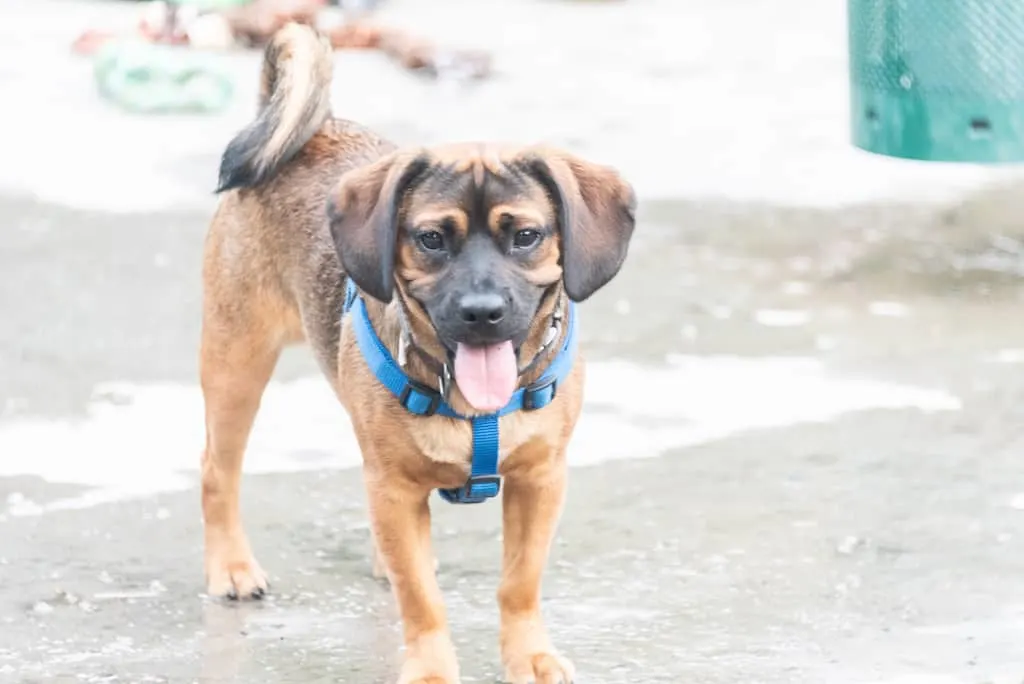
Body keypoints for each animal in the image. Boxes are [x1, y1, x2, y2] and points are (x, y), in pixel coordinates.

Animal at [196, 22, 634, 684]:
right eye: (430, 239)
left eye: (526, 236)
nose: (482, 311)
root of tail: (313, 132)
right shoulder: (397, 488)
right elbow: (423, 599)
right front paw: (430, 667)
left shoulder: (539, 482)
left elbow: (519, 583)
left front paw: (528, 655)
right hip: (236, 366)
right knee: (217, 471)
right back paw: (231, 565)